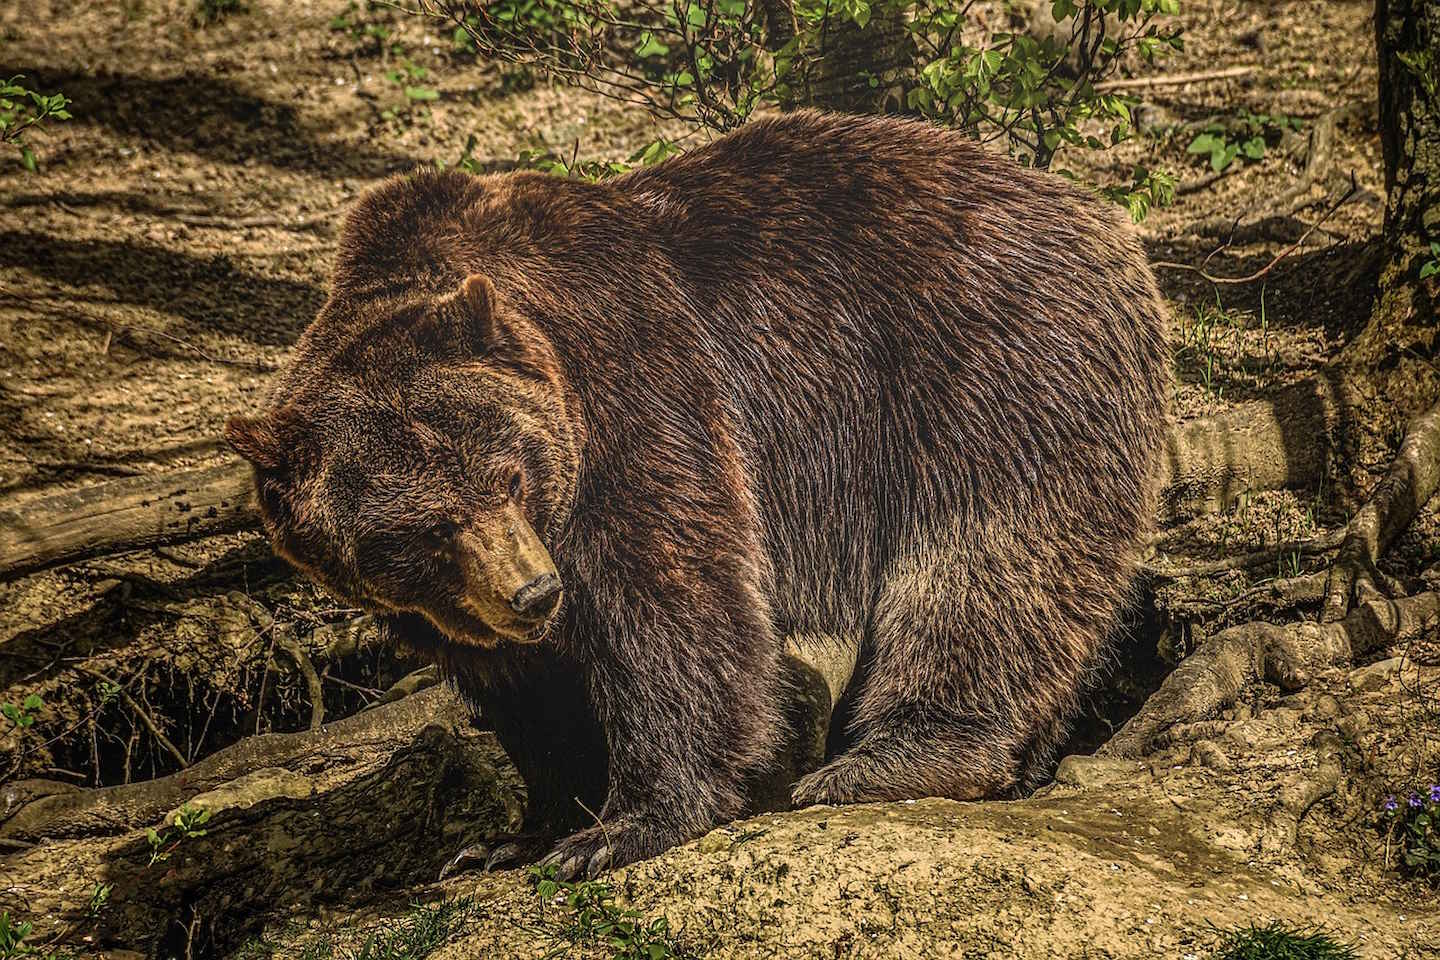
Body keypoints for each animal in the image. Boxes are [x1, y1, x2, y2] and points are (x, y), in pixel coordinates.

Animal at [224, 108, 1169, 880]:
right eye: (422, 529)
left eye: (508, 475)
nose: (535, 592)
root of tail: (1105, 218)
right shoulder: (451, 604)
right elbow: (527, 690)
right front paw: (513, 834)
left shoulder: (633, 389)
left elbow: (672, 601)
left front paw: (624, 825)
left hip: (989, 365)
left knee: (985, 563)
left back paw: (889, 758)